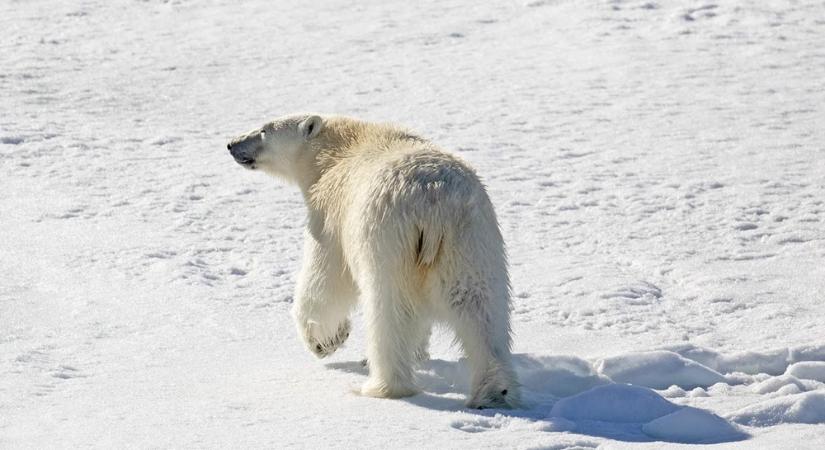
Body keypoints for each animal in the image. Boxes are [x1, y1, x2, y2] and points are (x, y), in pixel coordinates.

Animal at [225, 113, 520, 408]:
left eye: (263, 130)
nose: (231, 144)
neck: (338, 150)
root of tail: (433, 200)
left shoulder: (330, 216)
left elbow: (324, 280)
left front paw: (326, 341)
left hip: (388, 239)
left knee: (390, 311)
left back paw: (382, 385)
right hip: (470, 241)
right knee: (479, 306)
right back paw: (494, 391)